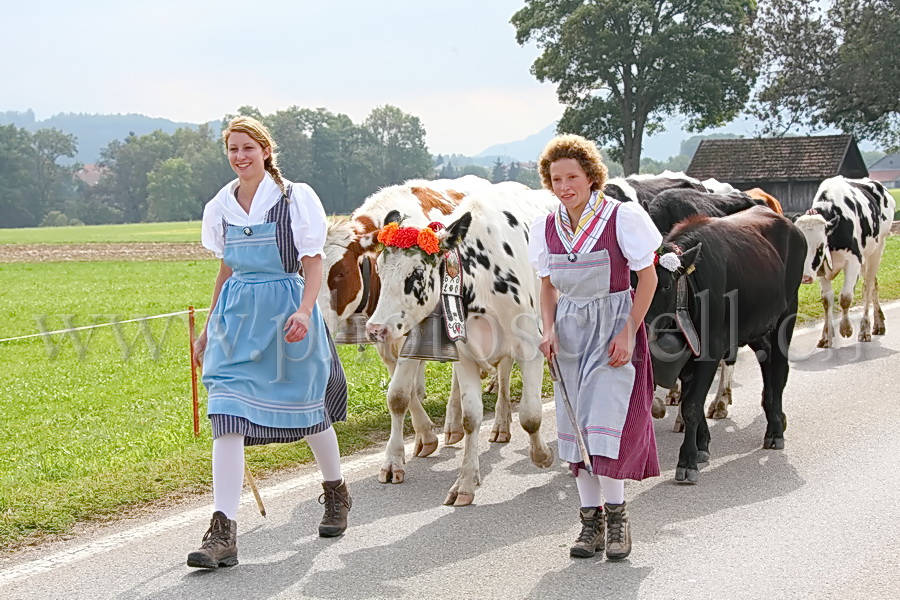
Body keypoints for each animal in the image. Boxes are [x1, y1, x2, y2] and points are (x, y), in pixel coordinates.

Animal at [364, 185, 556, 504]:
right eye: (378, 270)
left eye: (416, 273)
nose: (375, 329)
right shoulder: (465, 353)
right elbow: (470, 418)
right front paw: (465, 482)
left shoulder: (530, 345)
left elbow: (531, 415)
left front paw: (542, 456)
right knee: (503, 374)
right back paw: (498, 425)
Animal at [648, 206, 808, 482]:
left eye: (666, 285)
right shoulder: (689, 356)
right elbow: (691, 400)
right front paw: (702, 446)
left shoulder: (710, 351)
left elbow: (692, 405)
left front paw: (687, 461)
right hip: (756, 328)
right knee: (768, 364)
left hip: (786, 316)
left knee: (779, 371)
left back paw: (775, 431)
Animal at [796, 176, 892, 350]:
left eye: (820, 246)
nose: (805, 277)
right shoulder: (821, 268)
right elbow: (827, 300)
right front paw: (826, 336)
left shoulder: (854, 260)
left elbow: (846, 297)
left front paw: (846, 329)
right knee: (873, 284)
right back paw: (878, 324)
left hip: (876, 250)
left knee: (868, 287)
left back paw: (865, 330)